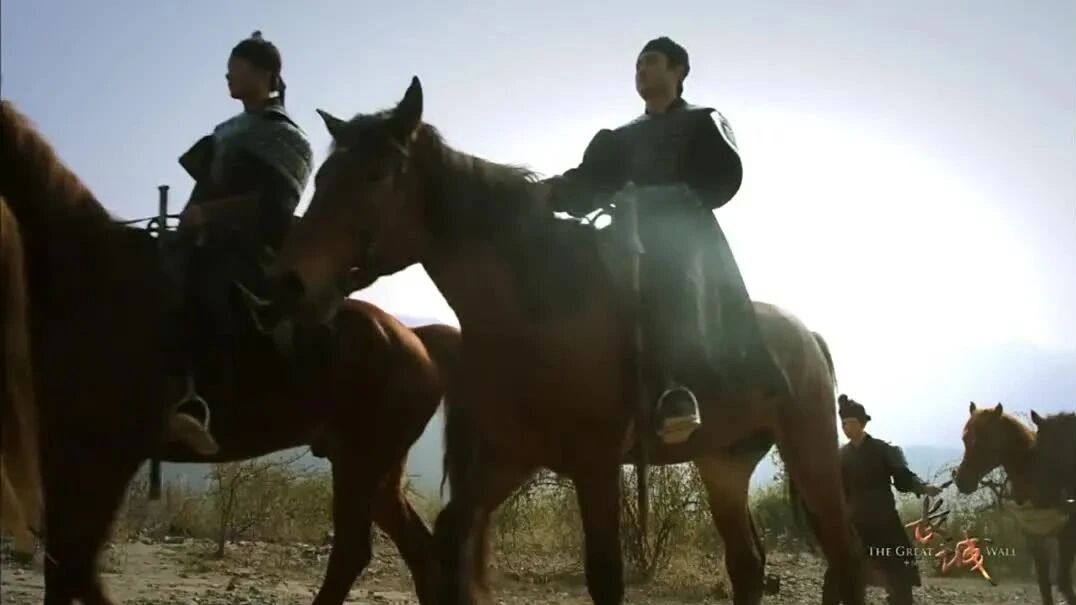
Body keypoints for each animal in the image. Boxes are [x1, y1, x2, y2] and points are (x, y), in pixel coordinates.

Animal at [0, 99, 456, 605]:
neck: (86, 279)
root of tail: (417, 337)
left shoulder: (111, 452)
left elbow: (74, 564)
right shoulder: (62, 451)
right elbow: (67, 565)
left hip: (362, 462)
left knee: (354, 552)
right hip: (374, 469)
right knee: (419, 554)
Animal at [260, 77, 865, 605]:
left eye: (381, 173)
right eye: (323, 176)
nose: (287, 283)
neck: (539, 309)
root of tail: (808, 335)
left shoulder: (596, 464)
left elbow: (605, 577)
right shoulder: (512, 457)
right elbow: (452, 539)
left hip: (810, 454)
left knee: (847, 558)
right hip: (725, 463)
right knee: (747, 564)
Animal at [954, 402, 1075, 605]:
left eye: (985, 439)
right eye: (964, 439)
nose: (962, 481)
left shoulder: (1066, 533)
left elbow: (1064, 582)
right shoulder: (1033, 534)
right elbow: (1044, 584)